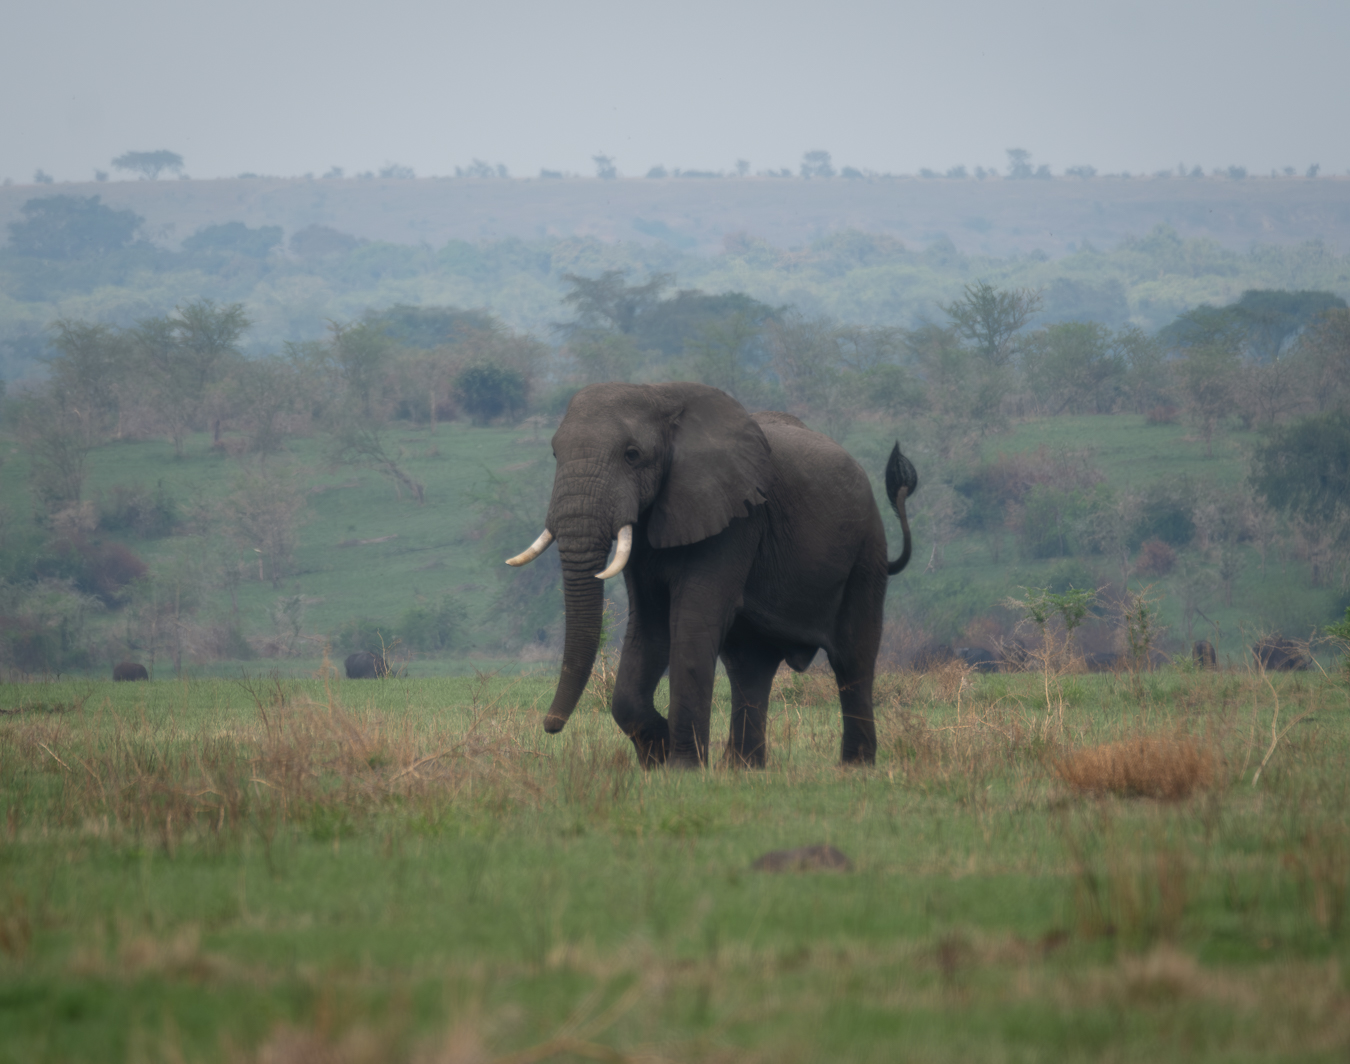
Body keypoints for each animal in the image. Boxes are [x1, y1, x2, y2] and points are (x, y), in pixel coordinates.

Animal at [505, 382, 917, 768]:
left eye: (632, 455)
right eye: (555, 454)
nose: (550, 725)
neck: (660, 396)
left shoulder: (737, 519)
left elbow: (691, 625)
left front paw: (682, 766)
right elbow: (649, 628)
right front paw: (658, 756)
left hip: (866, 552)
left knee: (852, 658)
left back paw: (854, 767)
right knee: (750, 667)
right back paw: (743, 769)